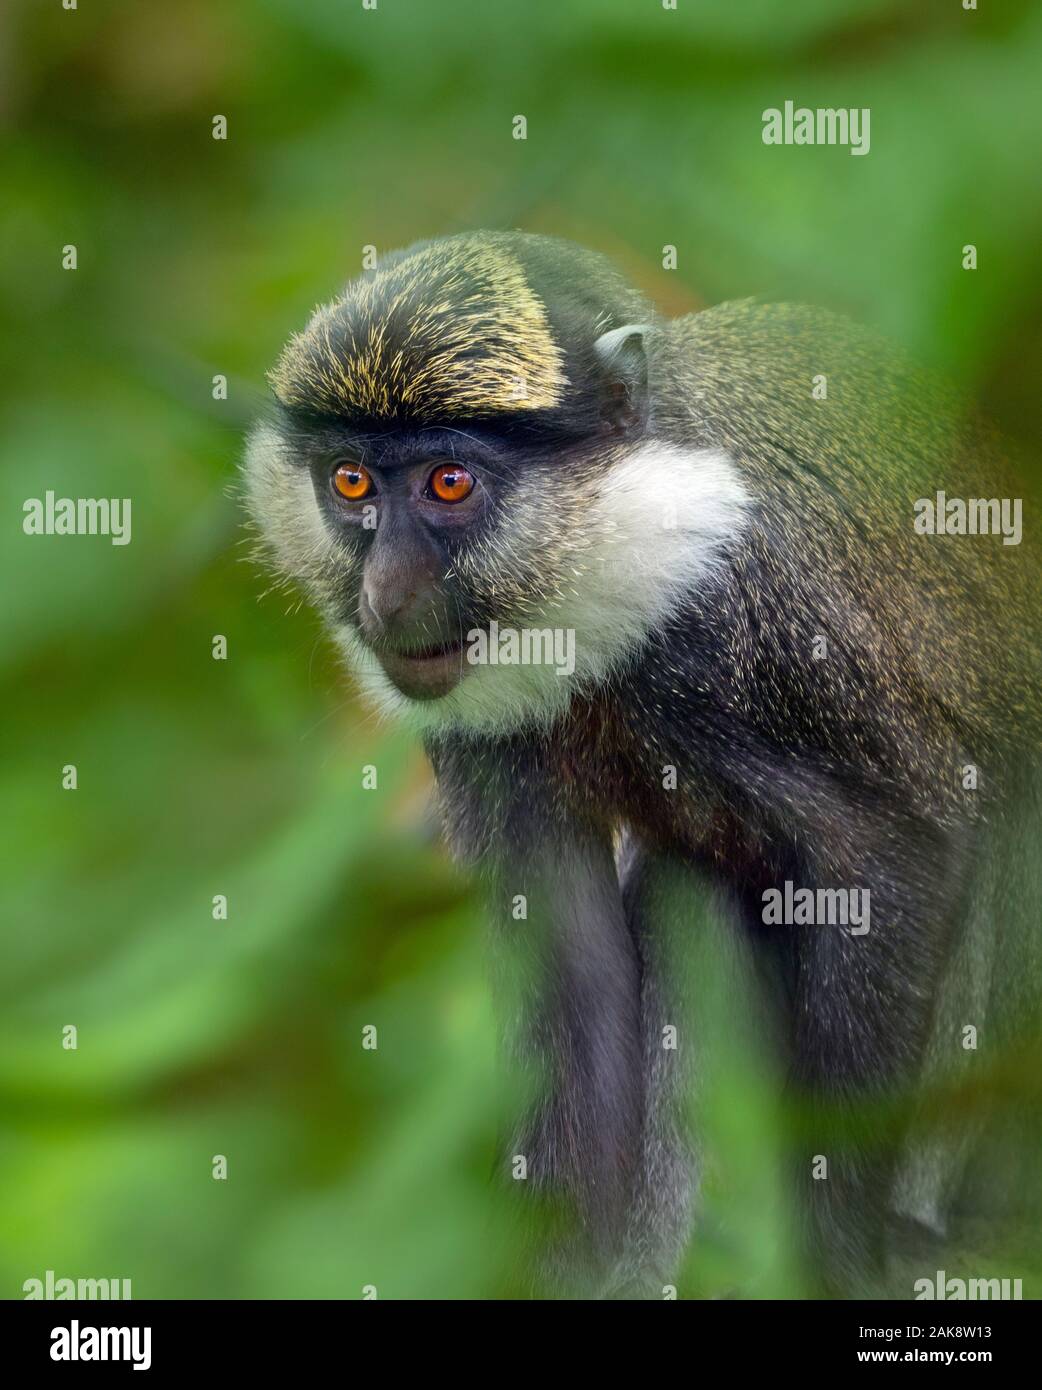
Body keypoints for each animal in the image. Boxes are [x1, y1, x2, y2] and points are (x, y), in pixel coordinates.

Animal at [240, 230, 1039, 1301]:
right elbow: (573, 971)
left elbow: (888, 853)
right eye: (352, 484)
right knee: (680, 885)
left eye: (450, 484)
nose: (388, 592)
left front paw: (839, 1263)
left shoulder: (750, 633)